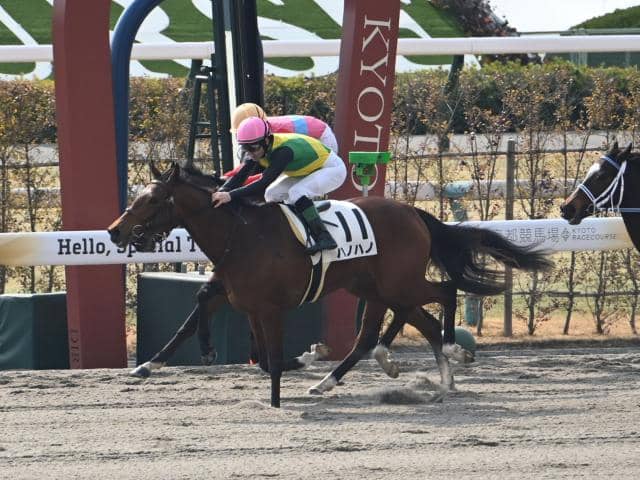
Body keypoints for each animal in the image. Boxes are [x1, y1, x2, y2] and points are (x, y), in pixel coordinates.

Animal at [108, 162, 552, 407]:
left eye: (151, 201)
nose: (115, 231)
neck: (242, 234)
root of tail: (413, 212)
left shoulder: (269, 308)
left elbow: (270, 359)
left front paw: (299, 366)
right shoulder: (242, 300)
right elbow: (210, 320)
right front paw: (151, 363)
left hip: (398, 283)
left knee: (442, 293)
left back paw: (448, 351)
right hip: (375, 288)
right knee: (389, 330)